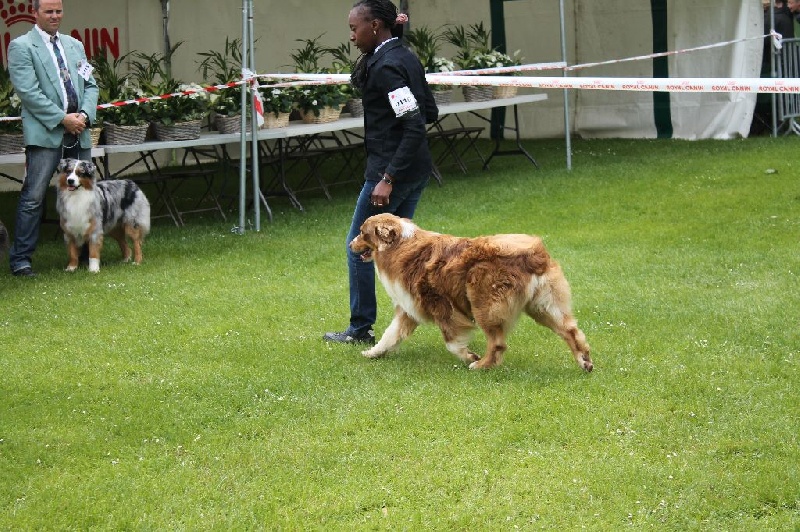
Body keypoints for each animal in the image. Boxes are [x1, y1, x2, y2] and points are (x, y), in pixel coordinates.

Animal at [350, 212, 592, 370]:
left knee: (498, 343)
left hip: (484, 304)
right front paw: (373, 353)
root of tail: (534, 254)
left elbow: (451, 342)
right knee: (571, 331)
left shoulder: (441, 306)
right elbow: (390, 335)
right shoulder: (408, 309)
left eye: (362, 233)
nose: (350, 245)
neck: (399, 244)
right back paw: (585, 362)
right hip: (543, 305)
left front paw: (468, 356)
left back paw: (481, 365)